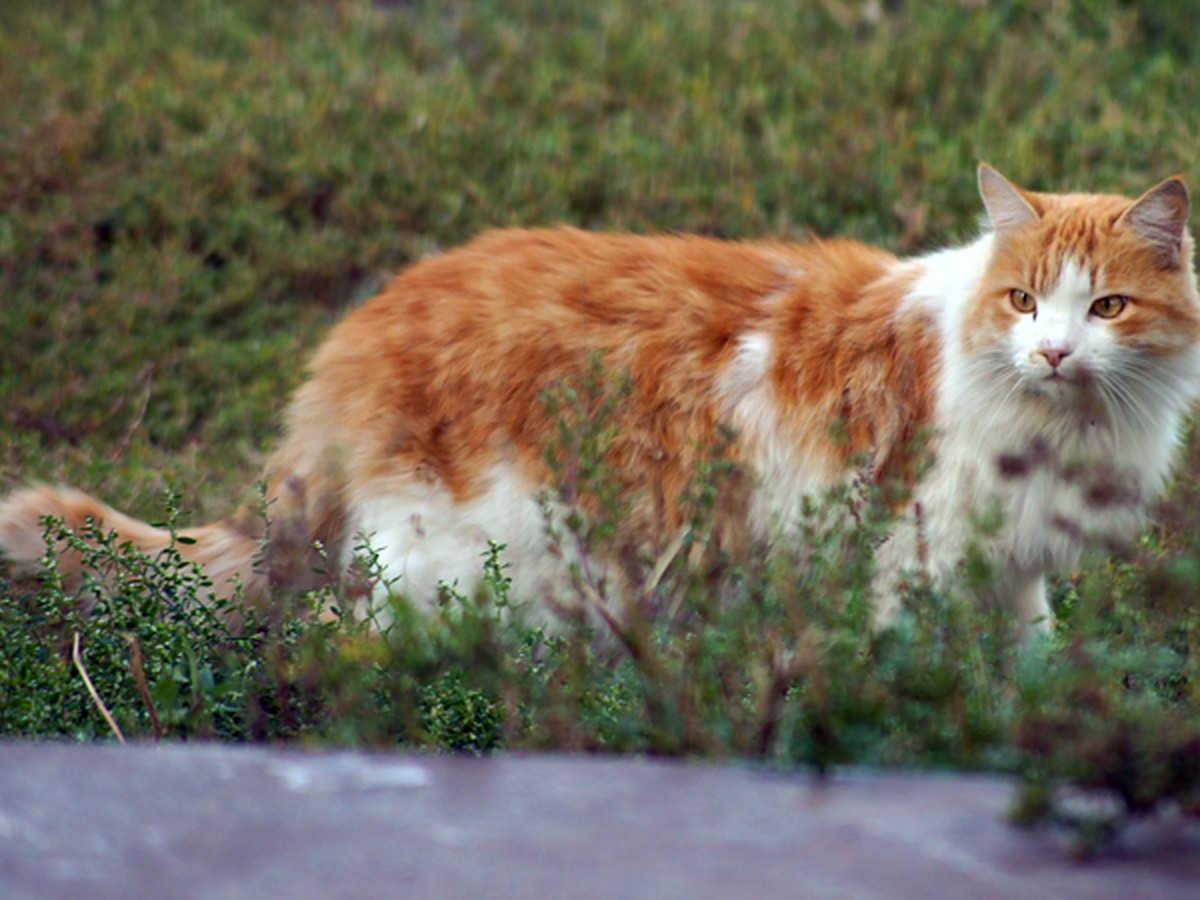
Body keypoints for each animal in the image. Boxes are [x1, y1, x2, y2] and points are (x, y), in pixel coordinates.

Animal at [2, 168, 1200, 633]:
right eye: (1022, 299)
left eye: (1106, 305)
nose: (1053, 351)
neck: (1069, 430)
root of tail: (367, 318)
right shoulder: (916, 557)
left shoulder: (1014, 572)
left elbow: (1023, 664)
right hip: (474, 565)